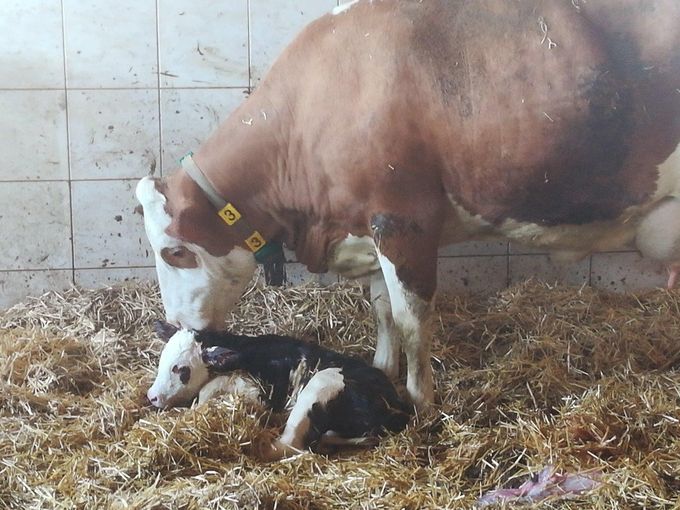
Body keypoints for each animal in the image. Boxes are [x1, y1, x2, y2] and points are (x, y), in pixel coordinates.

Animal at [134, 0, 680, 408]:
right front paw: (382, 367)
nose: (176, 324)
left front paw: (420, 400)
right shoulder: (368, 227)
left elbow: (412, 318)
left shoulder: (403, 221)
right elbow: (382, 309)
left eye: (173, 252)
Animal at [147, 322, 412, 462]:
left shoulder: (269, 393)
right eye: (162, 361)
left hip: (322, 383)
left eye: (181, 369)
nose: (152, 396)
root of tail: (395, 409)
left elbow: (209, 389)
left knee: (291, 444)